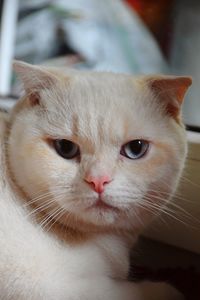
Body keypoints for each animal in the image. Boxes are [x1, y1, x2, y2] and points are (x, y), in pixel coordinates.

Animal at [0, 59, 191, 298]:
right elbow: (136, 291)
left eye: (136, 149)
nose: (98, 181)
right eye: (65, 148)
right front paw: (171, 289)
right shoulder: (48, 286)